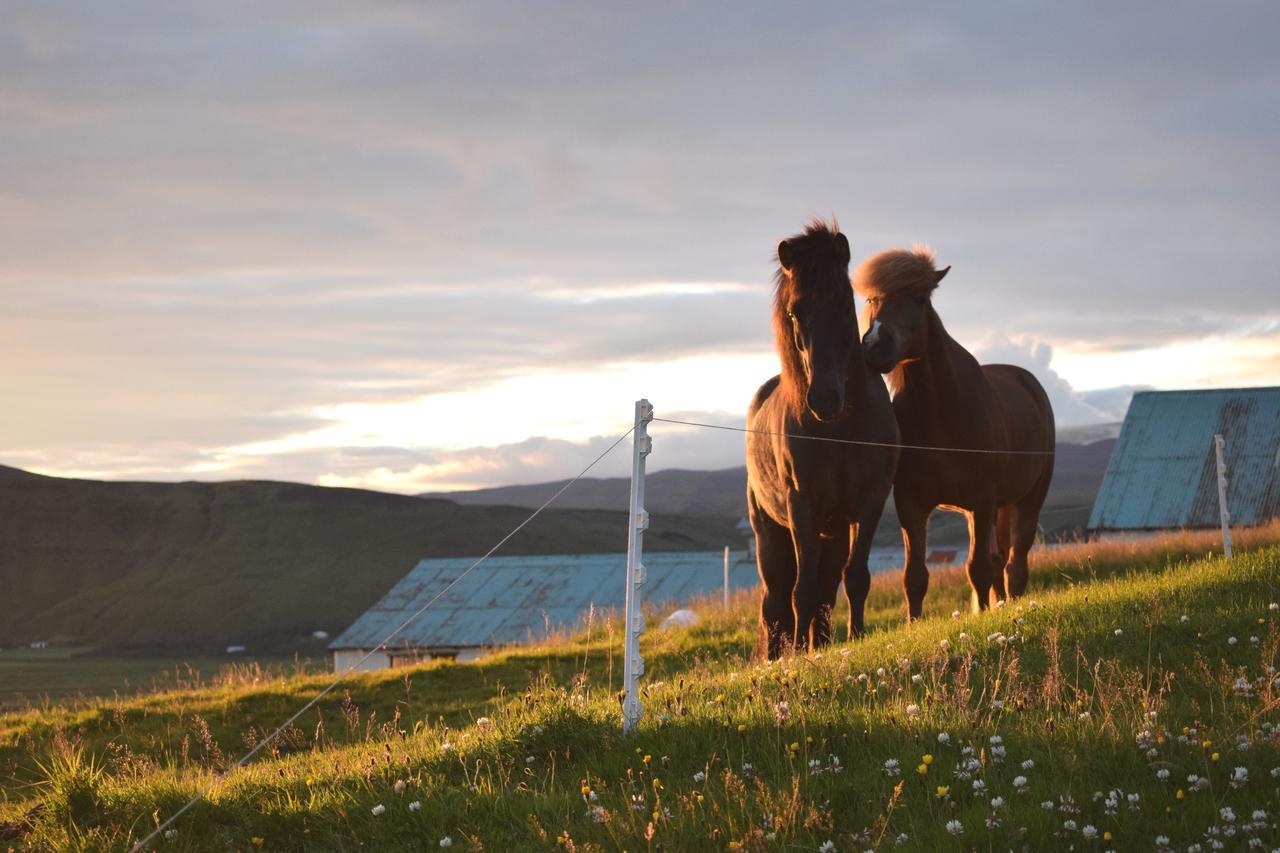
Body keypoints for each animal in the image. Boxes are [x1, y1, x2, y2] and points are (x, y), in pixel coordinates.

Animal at [747, 220, 896, 655]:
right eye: (795, 311)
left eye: (846, 303)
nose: (826, 399)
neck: (841, 432)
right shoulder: (802, 508)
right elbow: (803, 592)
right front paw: (798, 653)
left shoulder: (870, 501)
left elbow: (856, 578)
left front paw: (857, 637)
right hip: (771, 534)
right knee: (775, 602)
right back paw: (782, 654)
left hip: (834, 532)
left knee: (828, 590)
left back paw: (823, 643)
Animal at [855, 245, 1054, 617]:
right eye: (872, 299)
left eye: (919, 298)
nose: (874, 347)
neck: (943, 414)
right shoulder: (912, 505)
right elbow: (915, 576)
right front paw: (914, 624)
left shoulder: (981, 501)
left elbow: (978, 568)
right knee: (1000, 560)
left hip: (1026, 500)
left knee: (1014, 564)